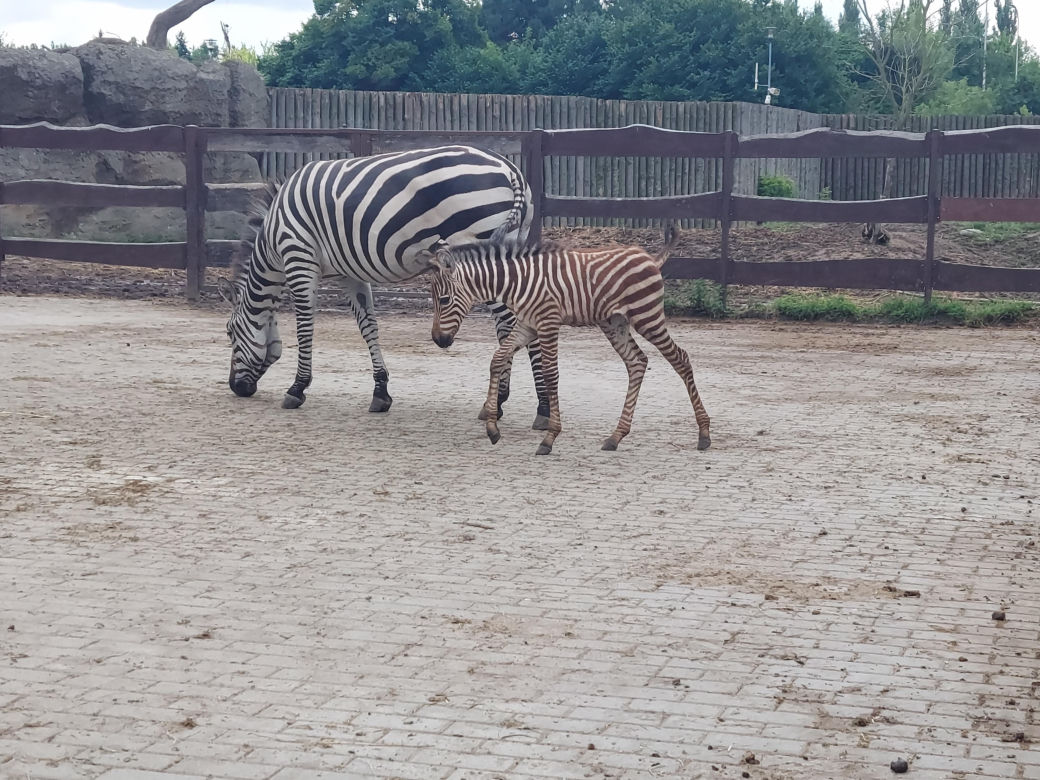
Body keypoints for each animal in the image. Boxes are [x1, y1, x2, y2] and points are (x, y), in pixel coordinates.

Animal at [222, 145, 550, 426]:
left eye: (230, 332)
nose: (236, 388)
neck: (272, 240)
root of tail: (510, 168)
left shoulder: (299, 259)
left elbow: (304, 327)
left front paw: (297, 388)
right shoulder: (349, 272)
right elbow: (368, 326)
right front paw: (381, 393)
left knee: (513, 323)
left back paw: (531, 406)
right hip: (512, 244)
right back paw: (516, 403)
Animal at [425, 226, 711, 455]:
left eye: (444, 300)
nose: (438, 340)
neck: (518, 283)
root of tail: (649, 256)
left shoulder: (548, 323)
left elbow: (550, 375)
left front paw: (549, 438)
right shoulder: (527, 324)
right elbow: (497, 360)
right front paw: (492, 427)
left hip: (647, 317)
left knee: (680, 358)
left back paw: (704, 433)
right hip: (614, 323)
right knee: (637, 362)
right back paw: (616, 436)